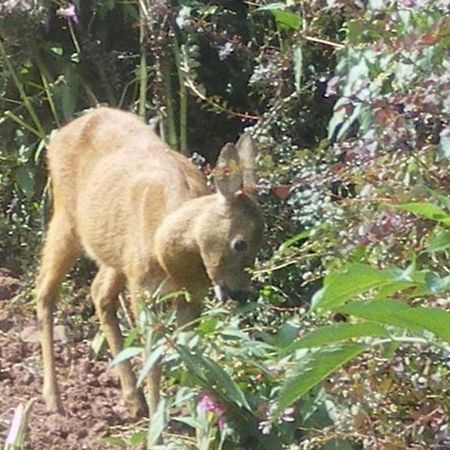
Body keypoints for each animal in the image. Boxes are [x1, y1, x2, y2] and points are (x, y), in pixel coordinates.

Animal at [37, 107, 266, 420]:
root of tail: (61, 132)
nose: (240, 293)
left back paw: (133, 399)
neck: (169, 254)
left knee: (99, 292)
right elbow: (153, 356)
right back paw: (53, 399)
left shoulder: (192, 295)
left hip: (116, 253)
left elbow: (189, 352)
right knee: (45, 290)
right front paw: (161, 418)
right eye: (239, 243)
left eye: (261, 243)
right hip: (66, 218)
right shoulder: (144, 290)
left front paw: (194, 414)